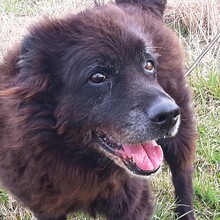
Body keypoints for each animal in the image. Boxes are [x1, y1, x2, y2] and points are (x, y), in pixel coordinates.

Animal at [0, 0, 196, 220]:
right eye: (98, 77)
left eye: (148, 65)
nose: (169, 114)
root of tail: (138, 6)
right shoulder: (46, 207)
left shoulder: (134, 203)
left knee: (182, 173)